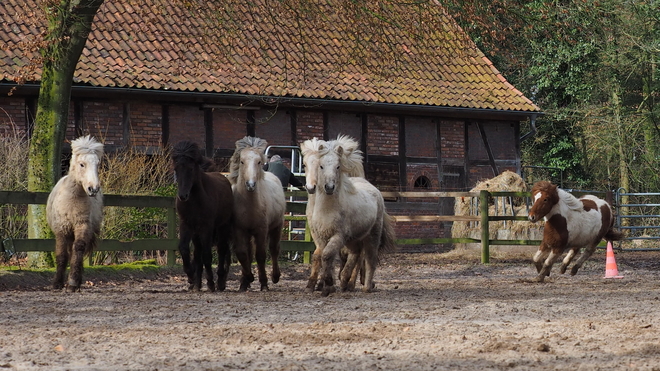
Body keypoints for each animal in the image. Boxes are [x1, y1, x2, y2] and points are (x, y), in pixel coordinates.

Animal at [47, 135, 104, 292]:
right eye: (82, 164)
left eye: (97, 164)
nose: (93, 189)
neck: (72, 199)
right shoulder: (62, 230)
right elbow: (61, 255)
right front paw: (57, 284)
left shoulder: (82, 226)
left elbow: (78, 249)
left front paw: (72, 283)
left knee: (76, 250)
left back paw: (76, 282)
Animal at [171, 141, 233, 292]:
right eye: (176, 169)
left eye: (191, 168)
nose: (182, 196)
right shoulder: (186, 224)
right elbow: (184, 249)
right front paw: (191, 277)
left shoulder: (207, 227)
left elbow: (207, 254)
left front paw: (210, 282)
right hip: (197, 232)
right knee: (198, 253)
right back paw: (197, 284)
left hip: (223, 227)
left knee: (222, 250)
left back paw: (220, 282)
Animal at [306, 136, 394, 296]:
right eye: (321, 166)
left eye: (338, 166)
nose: (329, 187)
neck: (328, 209)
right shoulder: (321, 237)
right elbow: (323, 257)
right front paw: (327, 286)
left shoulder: (338, 236)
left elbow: (327, 255)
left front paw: (328, 284)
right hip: (354, 239)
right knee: (356, 254)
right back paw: (344, 282)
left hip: (372, 235)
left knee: (369, 259)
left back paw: (366, 287)